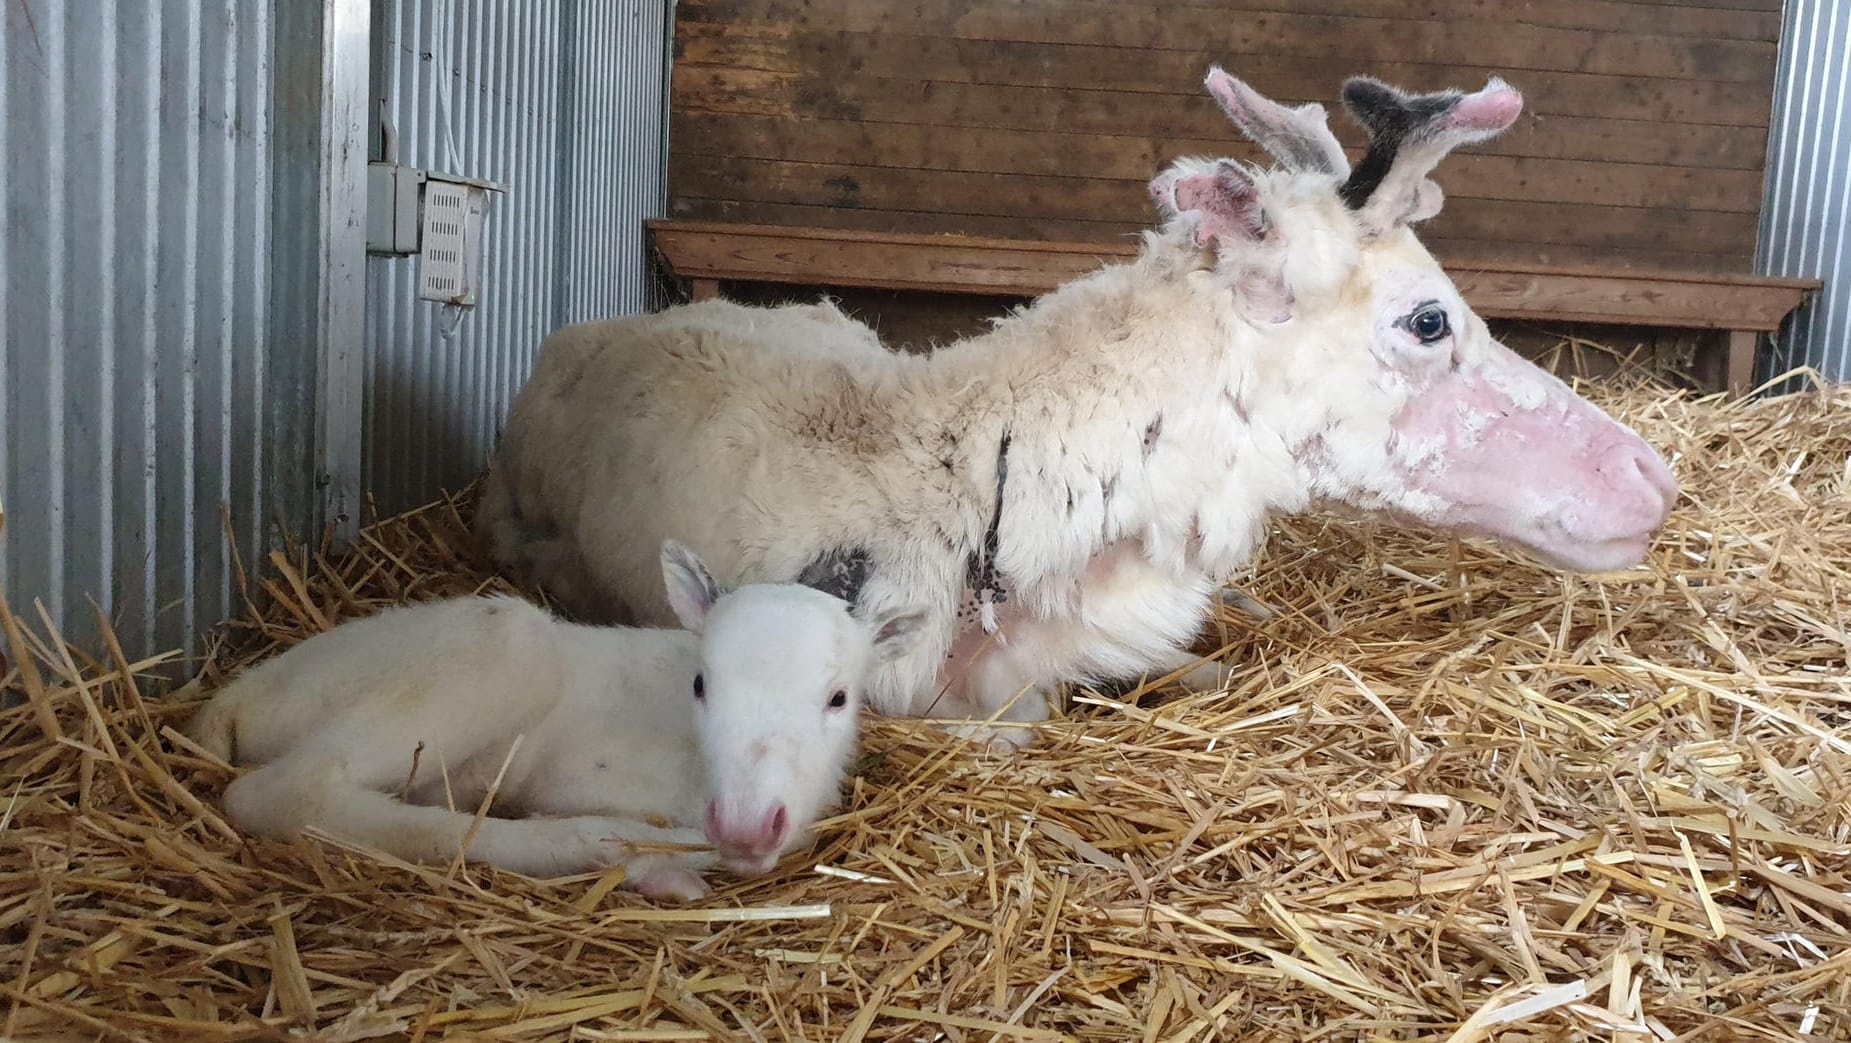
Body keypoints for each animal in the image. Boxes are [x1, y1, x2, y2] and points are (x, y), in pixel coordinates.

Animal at [184, 544, 921, 900]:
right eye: (701, 683)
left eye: (838, 698)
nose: (742, 822)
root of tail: (238, 695)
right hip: (500, 648)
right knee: (284, 792)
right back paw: (604, 846)